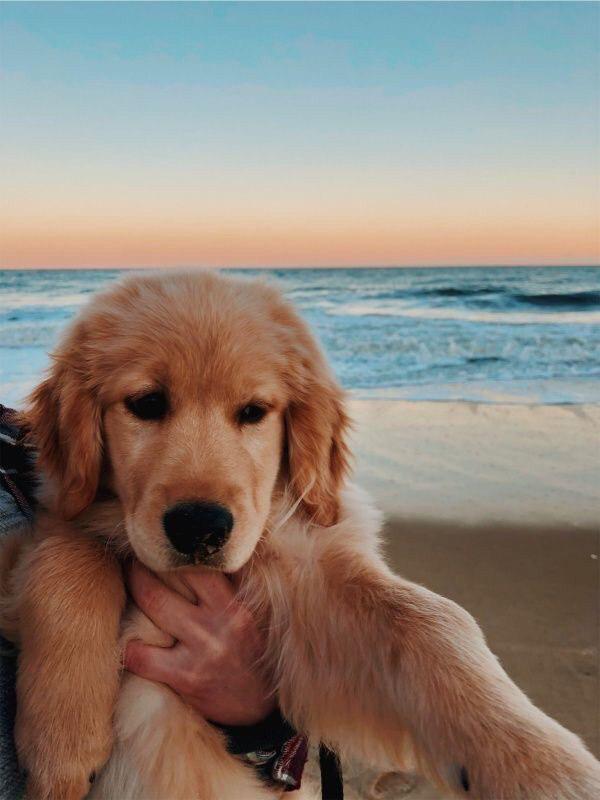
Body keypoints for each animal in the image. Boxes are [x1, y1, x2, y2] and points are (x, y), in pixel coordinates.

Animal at [1, 270, 600, 800]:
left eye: (254, 411)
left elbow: (431, 620)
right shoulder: (50, 522)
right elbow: (73, 547)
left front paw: (541, 768)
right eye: (146, 403)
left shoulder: (309, 580)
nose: (200, 526)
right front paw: (63, 740)